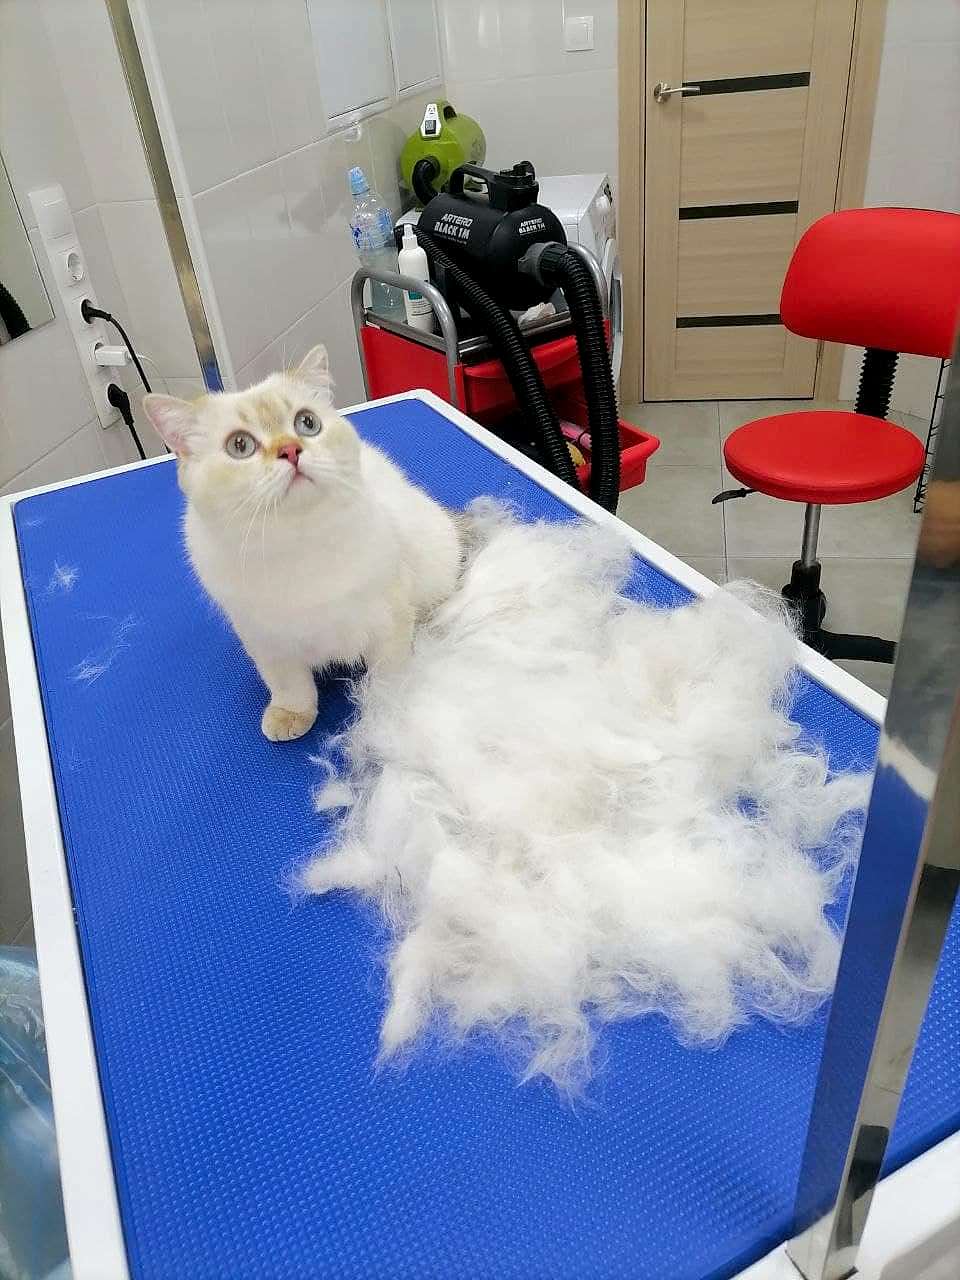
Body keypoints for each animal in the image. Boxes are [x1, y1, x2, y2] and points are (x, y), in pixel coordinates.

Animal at [142, 345, 461, 741]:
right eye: (239, 445)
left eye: (307, 424)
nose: (291, 450)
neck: (296, 541)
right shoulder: (264, 639)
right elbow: (290, 685)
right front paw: (291, 715)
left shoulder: (390, 617)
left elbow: (389, 672)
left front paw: (386, 710)